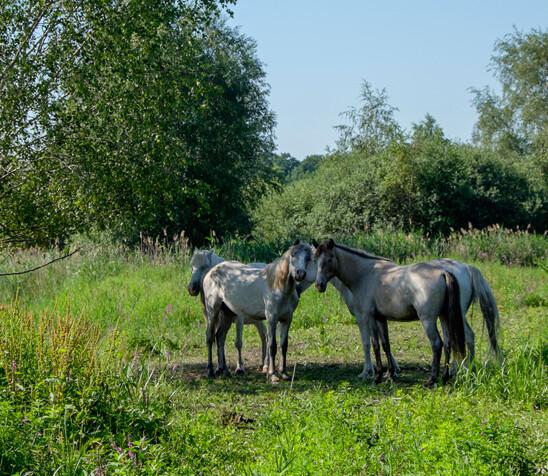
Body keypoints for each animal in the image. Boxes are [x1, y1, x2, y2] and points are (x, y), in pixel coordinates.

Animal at [201, 242, 312, 384]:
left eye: (308, 258)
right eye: (293, 255)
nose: (300, 274)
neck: (277, 286)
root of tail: (211, 272)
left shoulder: (287, 319)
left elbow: (284, 345)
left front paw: (284, 373)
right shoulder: (272, 318)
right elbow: (272, 345)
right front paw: (272, 375)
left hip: (227, 314)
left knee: (220, 337)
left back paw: (224, 371)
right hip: (212, 310)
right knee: (210, 337)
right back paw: (210, 371)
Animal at [312, 240, 466, 384]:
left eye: (330, 259)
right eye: (316, 260)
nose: (319, 285)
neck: (365, 274)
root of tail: (442, 273)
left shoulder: (369, 317)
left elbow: (375, 345)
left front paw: (378, 376)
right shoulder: (380, 318)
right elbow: (386, 344)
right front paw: (391, 374)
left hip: (428, 320)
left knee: (437, 344)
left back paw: (431, 379)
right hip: (443, 317)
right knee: (447, 343)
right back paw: (444, 377)